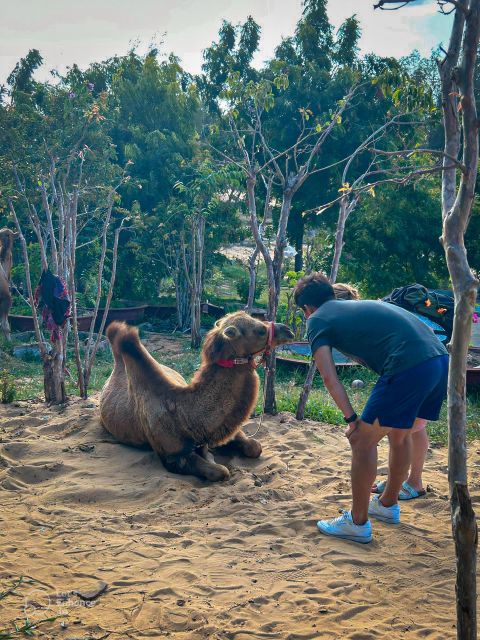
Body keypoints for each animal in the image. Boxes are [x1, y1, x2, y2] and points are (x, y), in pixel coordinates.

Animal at [100, 312, 292, 482]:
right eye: (260, 330)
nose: (288, 330)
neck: (184, 415)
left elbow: (255, 447)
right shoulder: (171, 456)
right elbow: (220, 471)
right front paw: (211, 458)